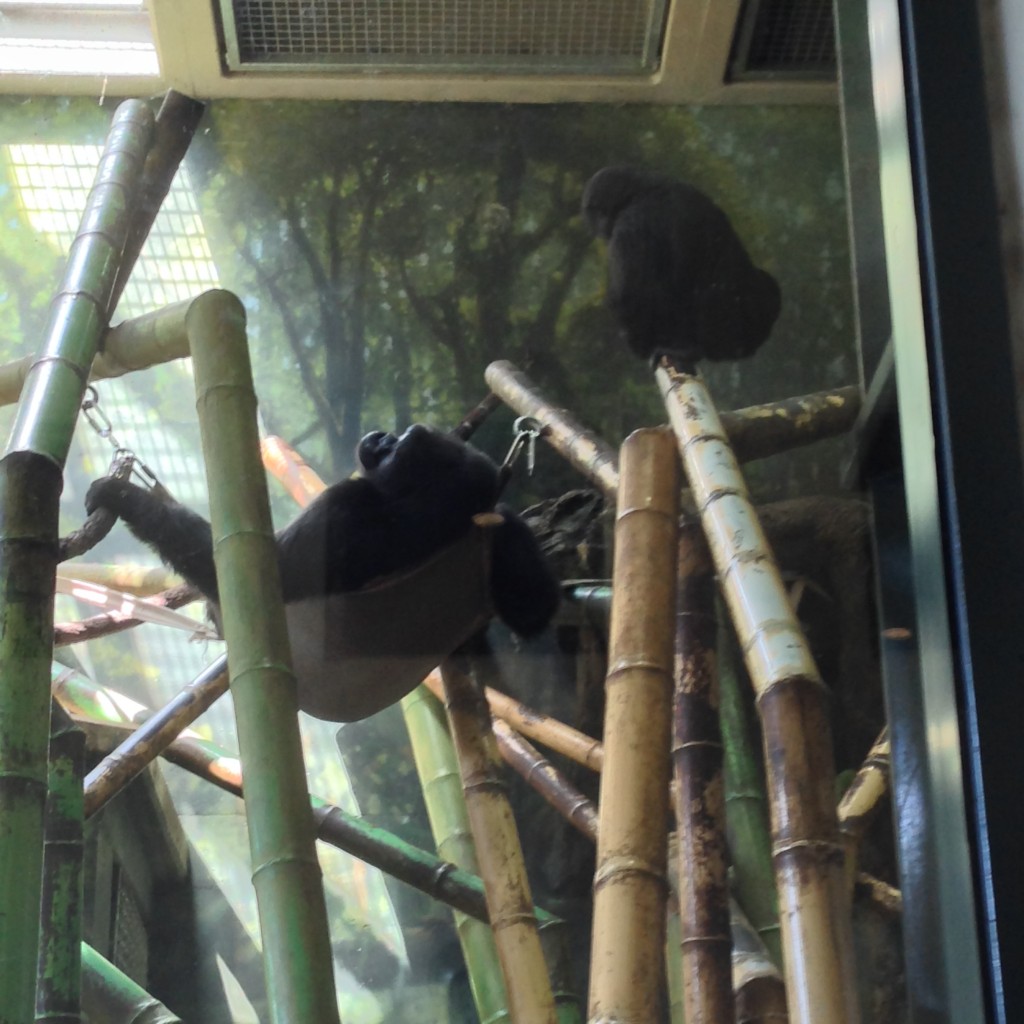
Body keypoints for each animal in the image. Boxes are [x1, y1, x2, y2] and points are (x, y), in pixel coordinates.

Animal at [89, 423, 565, 720]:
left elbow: (261, 570)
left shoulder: (341, 506)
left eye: (393, 449)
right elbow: (533, 607)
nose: (378, 438)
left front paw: (123, 496)